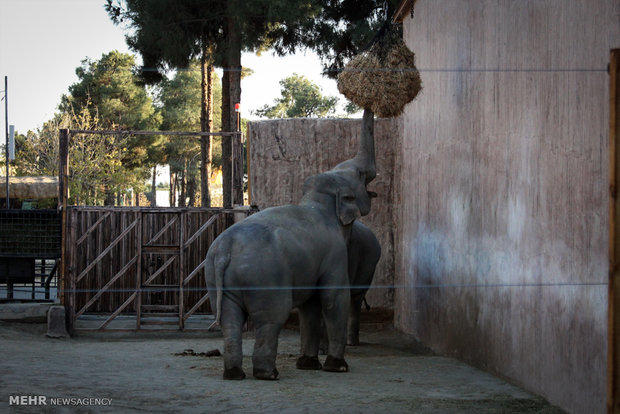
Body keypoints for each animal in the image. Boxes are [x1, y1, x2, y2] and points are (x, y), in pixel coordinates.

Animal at [203, 172, 358, 382]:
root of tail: (225, 248)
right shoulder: (335, 254)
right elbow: (334, 298)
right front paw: (338, 367)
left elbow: (310, 304)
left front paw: (309, 365)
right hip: (264, 277)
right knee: (272, 319)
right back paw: (268, 374)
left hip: (215, 278)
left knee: (230, 321)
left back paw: (234, 374)